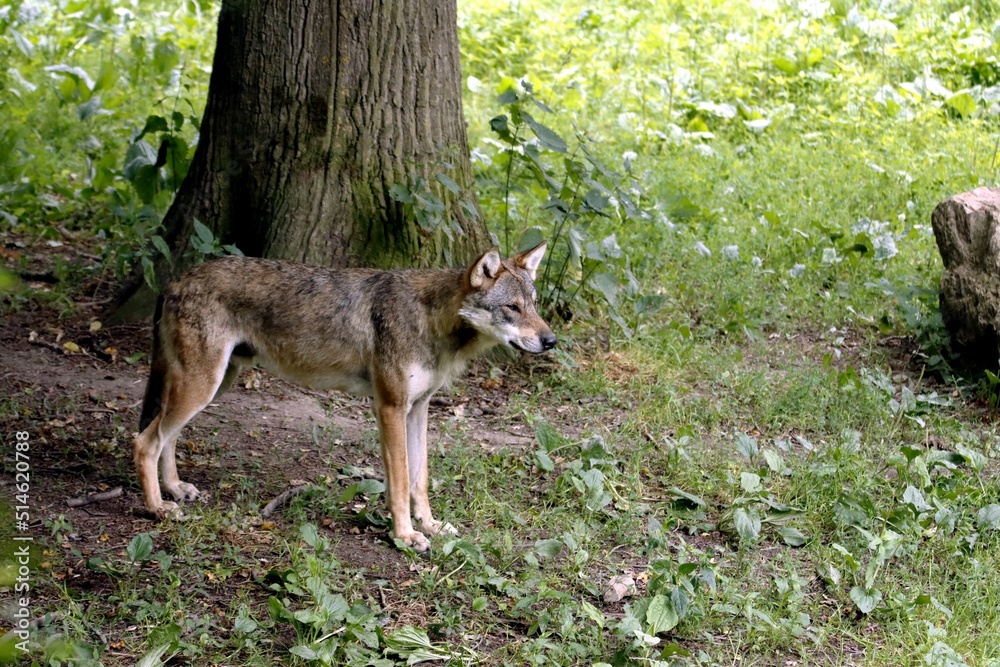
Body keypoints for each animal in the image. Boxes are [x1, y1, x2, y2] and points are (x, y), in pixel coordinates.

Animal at [133, 243, 556, 551]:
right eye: (512, 308)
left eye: (534, 305)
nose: (551, 340)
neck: (431, 319)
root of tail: (176, 280)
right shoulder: (390, 408)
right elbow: (400, 481)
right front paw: (405, 536)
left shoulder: (418, 410)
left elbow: (419, 480)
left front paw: (430, 525)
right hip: (202, 386)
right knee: (145, 441)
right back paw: (158, 508)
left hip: (212, 385)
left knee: (167, 436)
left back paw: (175, 489)